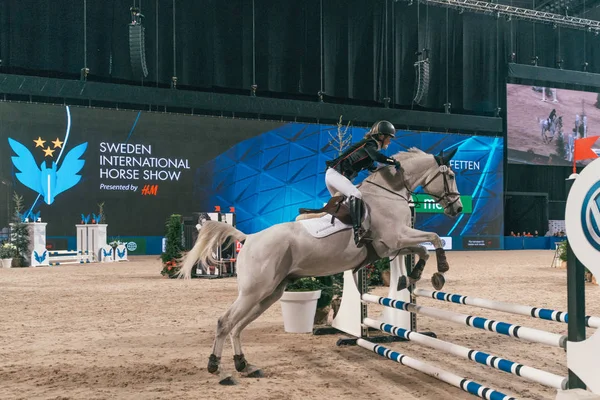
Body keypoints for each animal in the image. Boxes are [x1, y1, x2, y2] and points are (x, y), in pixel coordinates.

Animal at [176, 147, 462, 384]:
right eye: (450, 175)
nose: (457, 208)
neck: (389, 192)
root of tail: (250, 238)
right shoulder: (396, 238)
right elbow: (433, 239)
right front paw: (441, 271)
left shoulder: (394, 246)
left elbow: (421, 248)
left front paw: (411, 276)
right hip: (254, 291)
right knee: (225, 322)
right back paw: (218, 369)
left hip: (270, 293)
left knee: (237, 326)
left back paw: (244, 365)